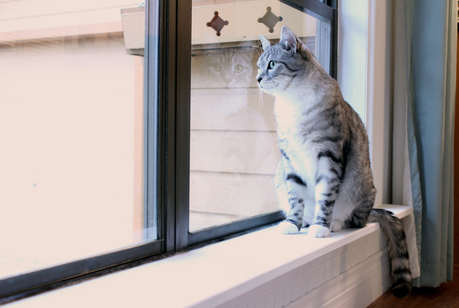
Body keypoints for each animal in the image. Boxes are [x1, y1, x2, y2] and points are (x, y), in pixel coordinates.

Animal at [258, 27, 414, 298]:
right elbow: (295, 197)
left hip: (360, 185)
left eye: (272, 64)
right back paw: (305, 220)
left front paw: (321, 226)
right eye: (258, 65)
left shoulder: (329, 156)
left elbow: (325, 196)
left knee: (356, 220)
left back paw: (335, 223)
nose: (257, 79)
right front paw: (293, 223)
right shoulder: (290, 160)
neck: (292, 103)